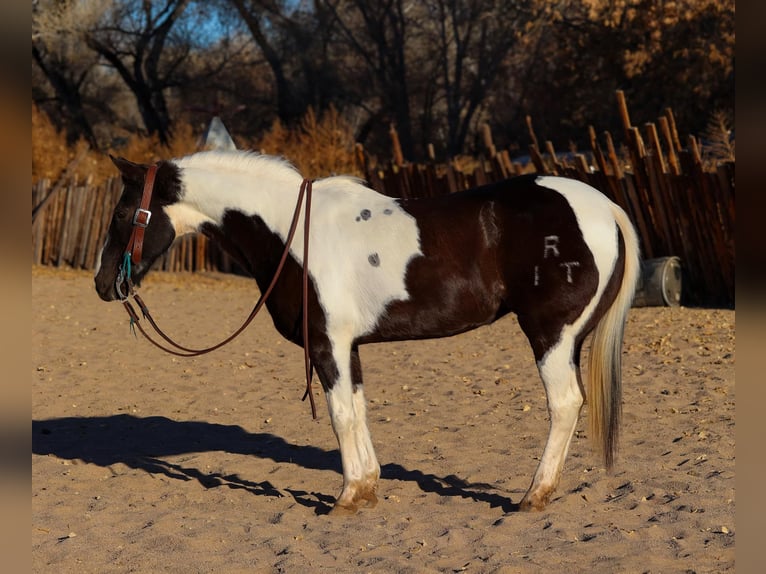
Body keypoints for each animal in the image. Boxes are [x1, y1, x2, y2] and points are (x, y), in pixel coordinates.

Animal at [94, 149, 640, 514]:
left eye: (122, 213)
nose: (103, 284)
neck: (292, 234)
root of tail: (602, 207)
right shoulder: (346, 348)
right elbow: (357, 409)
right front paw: (368, 486)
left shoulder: (327, 346)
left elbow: (340, 415)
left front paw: (347, 497)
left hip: (551, 336)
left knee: (564, 404)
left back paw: (534, 495)